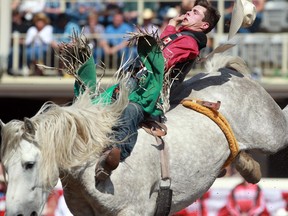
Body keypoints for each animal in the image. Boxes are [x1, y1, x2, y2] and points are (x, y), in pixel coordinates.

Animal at [1, 54, 288, 216]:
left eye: (29, 164)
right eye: (5, 167)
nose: (15, 213)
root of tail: (226, 71)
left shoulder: (134, 210)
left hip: (273, 132)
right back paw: (250, 167)